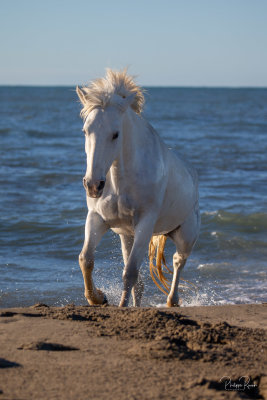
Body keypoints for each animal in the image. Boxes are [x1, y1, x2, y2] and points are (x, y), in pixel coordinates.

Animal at [76, 69, 200, 308]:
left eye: (115, 134)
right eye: (85, 131)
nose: (94, 185)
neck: (119, 181)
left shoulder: (145, 223)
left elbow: (130, 272)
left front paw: (119, 307)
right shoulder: (97, 218)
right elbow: (86, 259)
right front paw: (97, 298)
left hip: (185, 236)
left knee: (178, 262)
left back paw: (172, 301)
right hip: (128, 235)